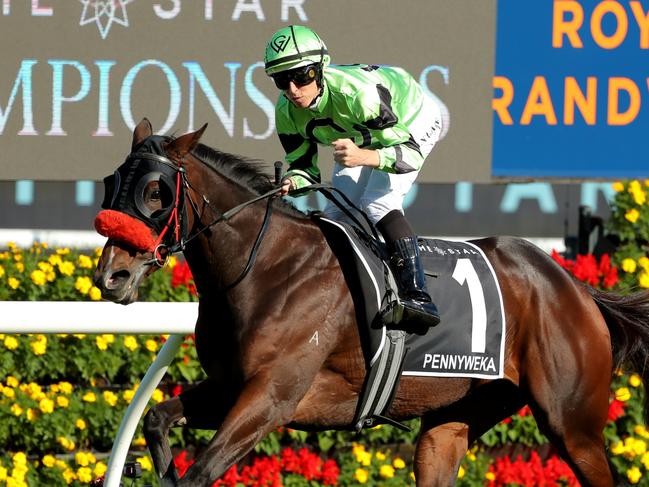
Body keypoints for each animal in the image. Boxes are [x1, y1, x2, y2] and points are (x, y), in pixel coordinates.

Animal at [92, 119, 649, 487]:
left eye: (157, 190)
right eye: (110, 182)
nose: (110, 276)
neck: (266, 268)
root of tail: (574, 286)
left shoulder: (272, 397)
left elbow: (199, 473)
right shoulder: (232, 386)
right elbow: (157, 419)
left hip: (573, 423)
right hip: (454, 419)